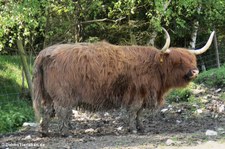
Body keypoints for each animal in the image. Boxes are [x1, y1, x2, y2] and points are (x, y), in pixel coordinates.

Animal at [33, 28, 214, 135]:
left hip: (49, 95)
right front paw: (133, 129)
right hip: (62, 95)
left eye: (192, 59)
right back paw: (65, 132)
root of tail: (45, 52)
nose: (195, 71)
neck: (154, 67)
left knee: (47, 111)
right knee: (61, 111)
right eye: (178, 62)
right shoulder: (136, 93)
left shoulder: (144, 95)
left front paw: (141, 128)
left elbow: (140, 113)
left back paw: (44, 132)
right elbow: (133, 111)